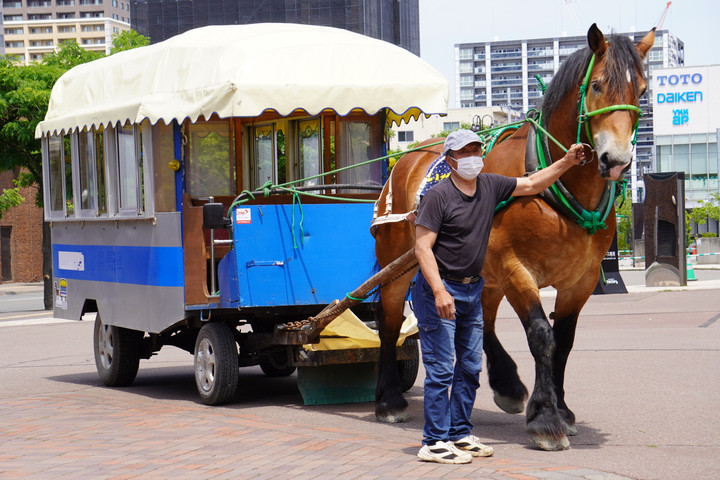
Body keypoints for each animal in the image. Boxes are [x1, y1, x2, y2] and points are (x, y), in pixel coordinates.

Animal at [371, 24, 654, 450]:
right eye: (598, 85)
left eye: (642, 91)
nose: (617, 161)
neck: (556, 186)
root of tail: (407, 157)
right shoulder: (515, 267)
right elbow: (541, 336)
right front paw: (546, 419)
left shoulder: (582, 279)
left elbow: (564, 341)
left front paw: (561, 409)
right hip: (398, 264)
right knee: (389, 322)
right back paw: (388, 399)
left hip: (483, 270)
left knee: (481, 321)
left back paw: (506, 383)